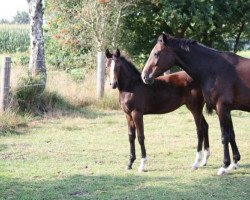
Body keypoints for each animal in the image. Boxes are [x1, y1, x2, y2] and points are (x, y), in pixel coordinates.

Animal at [141, 32, 250, 175]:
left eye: (156, 53)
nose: (144, 76)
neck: (214, 69)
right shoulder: (225, 110)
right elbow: (231, 134)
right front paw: (235, 162)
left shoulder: (222, 108)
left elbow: (225, 136)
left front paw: (224, 165)